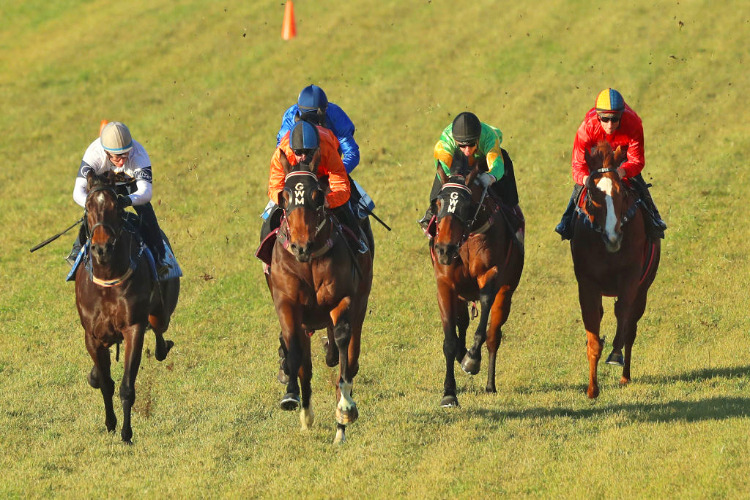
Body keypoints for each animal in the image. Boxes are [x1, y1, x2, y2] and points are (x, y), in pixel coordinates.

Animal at [75, 171, 180, 442]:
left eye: (115, 206)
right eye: (88, 207)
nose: (101, 248)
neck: (107, 279)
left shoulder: (133, 328)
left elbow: (126, 388)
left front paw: (126, 433)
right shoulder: (92, 335)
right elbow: (105, 383)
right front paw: (110, 423)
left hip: (160, 313)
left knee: (159, 334)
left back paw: (163, 346)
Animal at [268, 155, 374, 442]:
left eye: (317, 196)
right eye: (284, 197)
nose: (300, 246)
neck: (308, 262)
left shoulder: (343, 298)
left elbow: (342, 341)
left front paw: (345, 409)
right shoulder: (287, 304)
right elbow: (295, 354)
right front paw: (299, 405)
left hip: (360, 303)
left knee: (350, 355)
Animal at [432, 158, 524, 408]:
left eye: (466, 205)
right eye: (438, 203)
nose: (444, 249)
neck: (467, 238)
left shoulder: (490, 275)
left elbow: (484, 324)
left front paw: (472, 359)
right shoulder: (445, 284)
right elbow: (449, 341)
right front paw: (449, 393)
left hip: (507, 292)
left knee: (494, 335)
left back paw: (490, 384)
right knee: (463, 323)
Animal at [572, 141, 660, 398]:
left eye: (621, 192)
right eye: (593, 193)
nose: (613, 236)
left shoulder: (631, 276)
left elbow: (623, 315)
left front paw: (615, 354)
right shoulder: (587, 283)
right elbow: (592, 327)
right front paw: (592, 389)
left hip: (644, 288)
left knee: (631, 327)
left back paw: (625, 376)